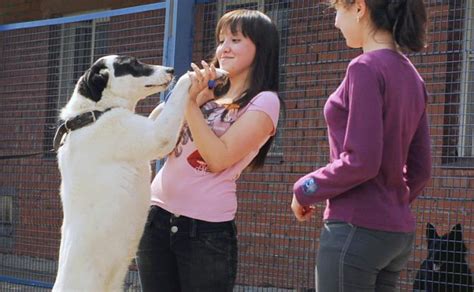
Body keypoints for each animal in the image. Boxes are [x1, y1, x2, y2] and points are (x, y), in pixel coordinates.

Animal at [52, 55, 227, 292]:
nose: (171, 69)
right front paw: (197, 75)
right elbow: (181, 88)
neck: (93, 113)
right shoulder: (158, 135)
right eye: (133, 64)